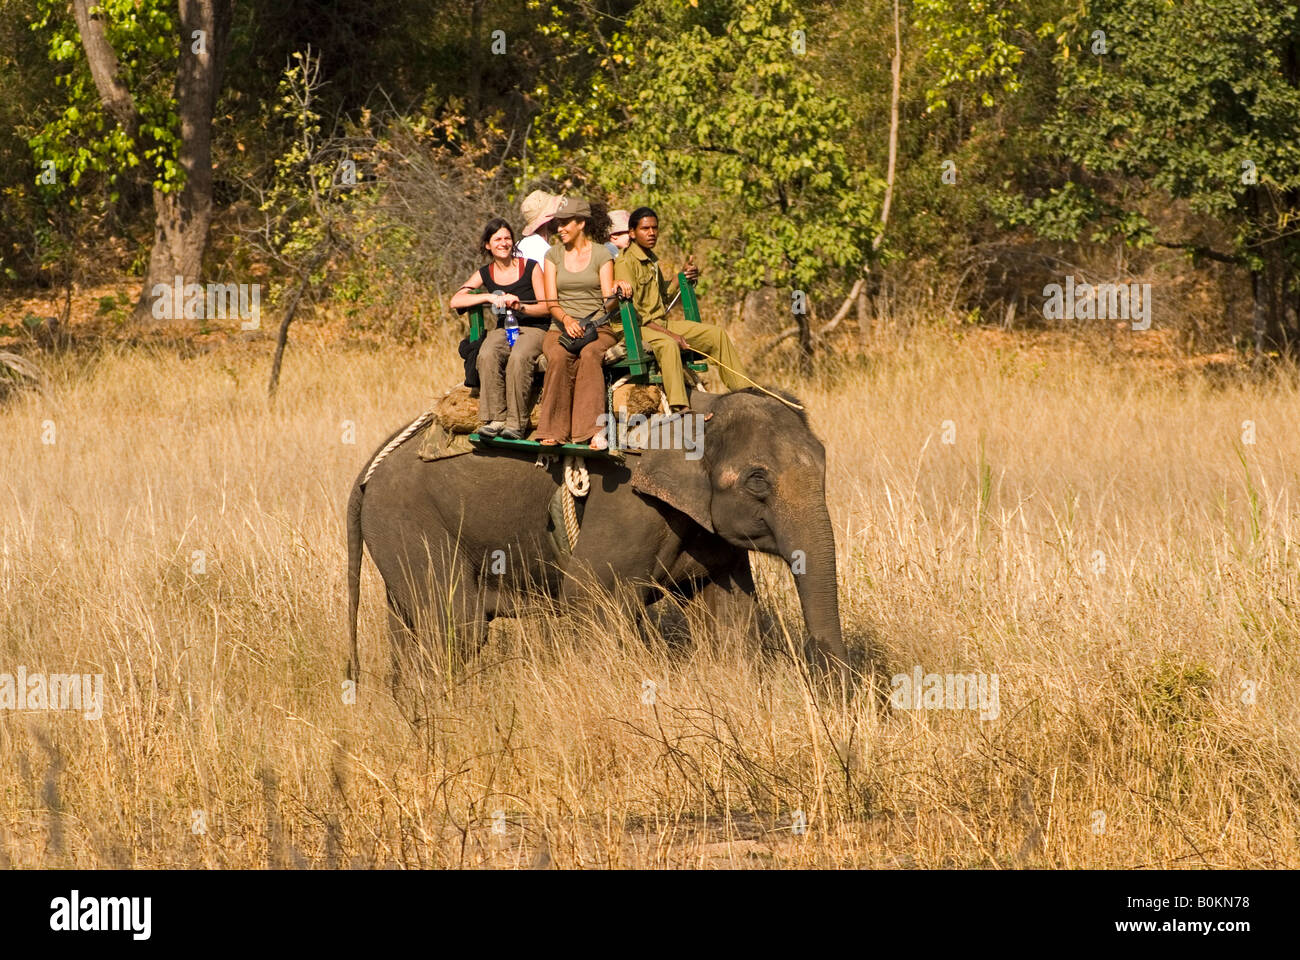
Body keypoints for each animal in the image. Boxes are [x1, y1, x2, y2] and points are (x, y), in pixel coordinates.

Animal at [345, 382, 847, 681]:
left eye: (826, 464)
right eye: (757, 481)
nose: (835, 686)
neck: (697, 409)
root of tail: (369, 468)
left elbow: (729, 614)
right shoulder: (625, 501)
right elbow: (588, 596)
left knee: (412, 631)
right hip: (409, 518)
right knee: (457, 628)